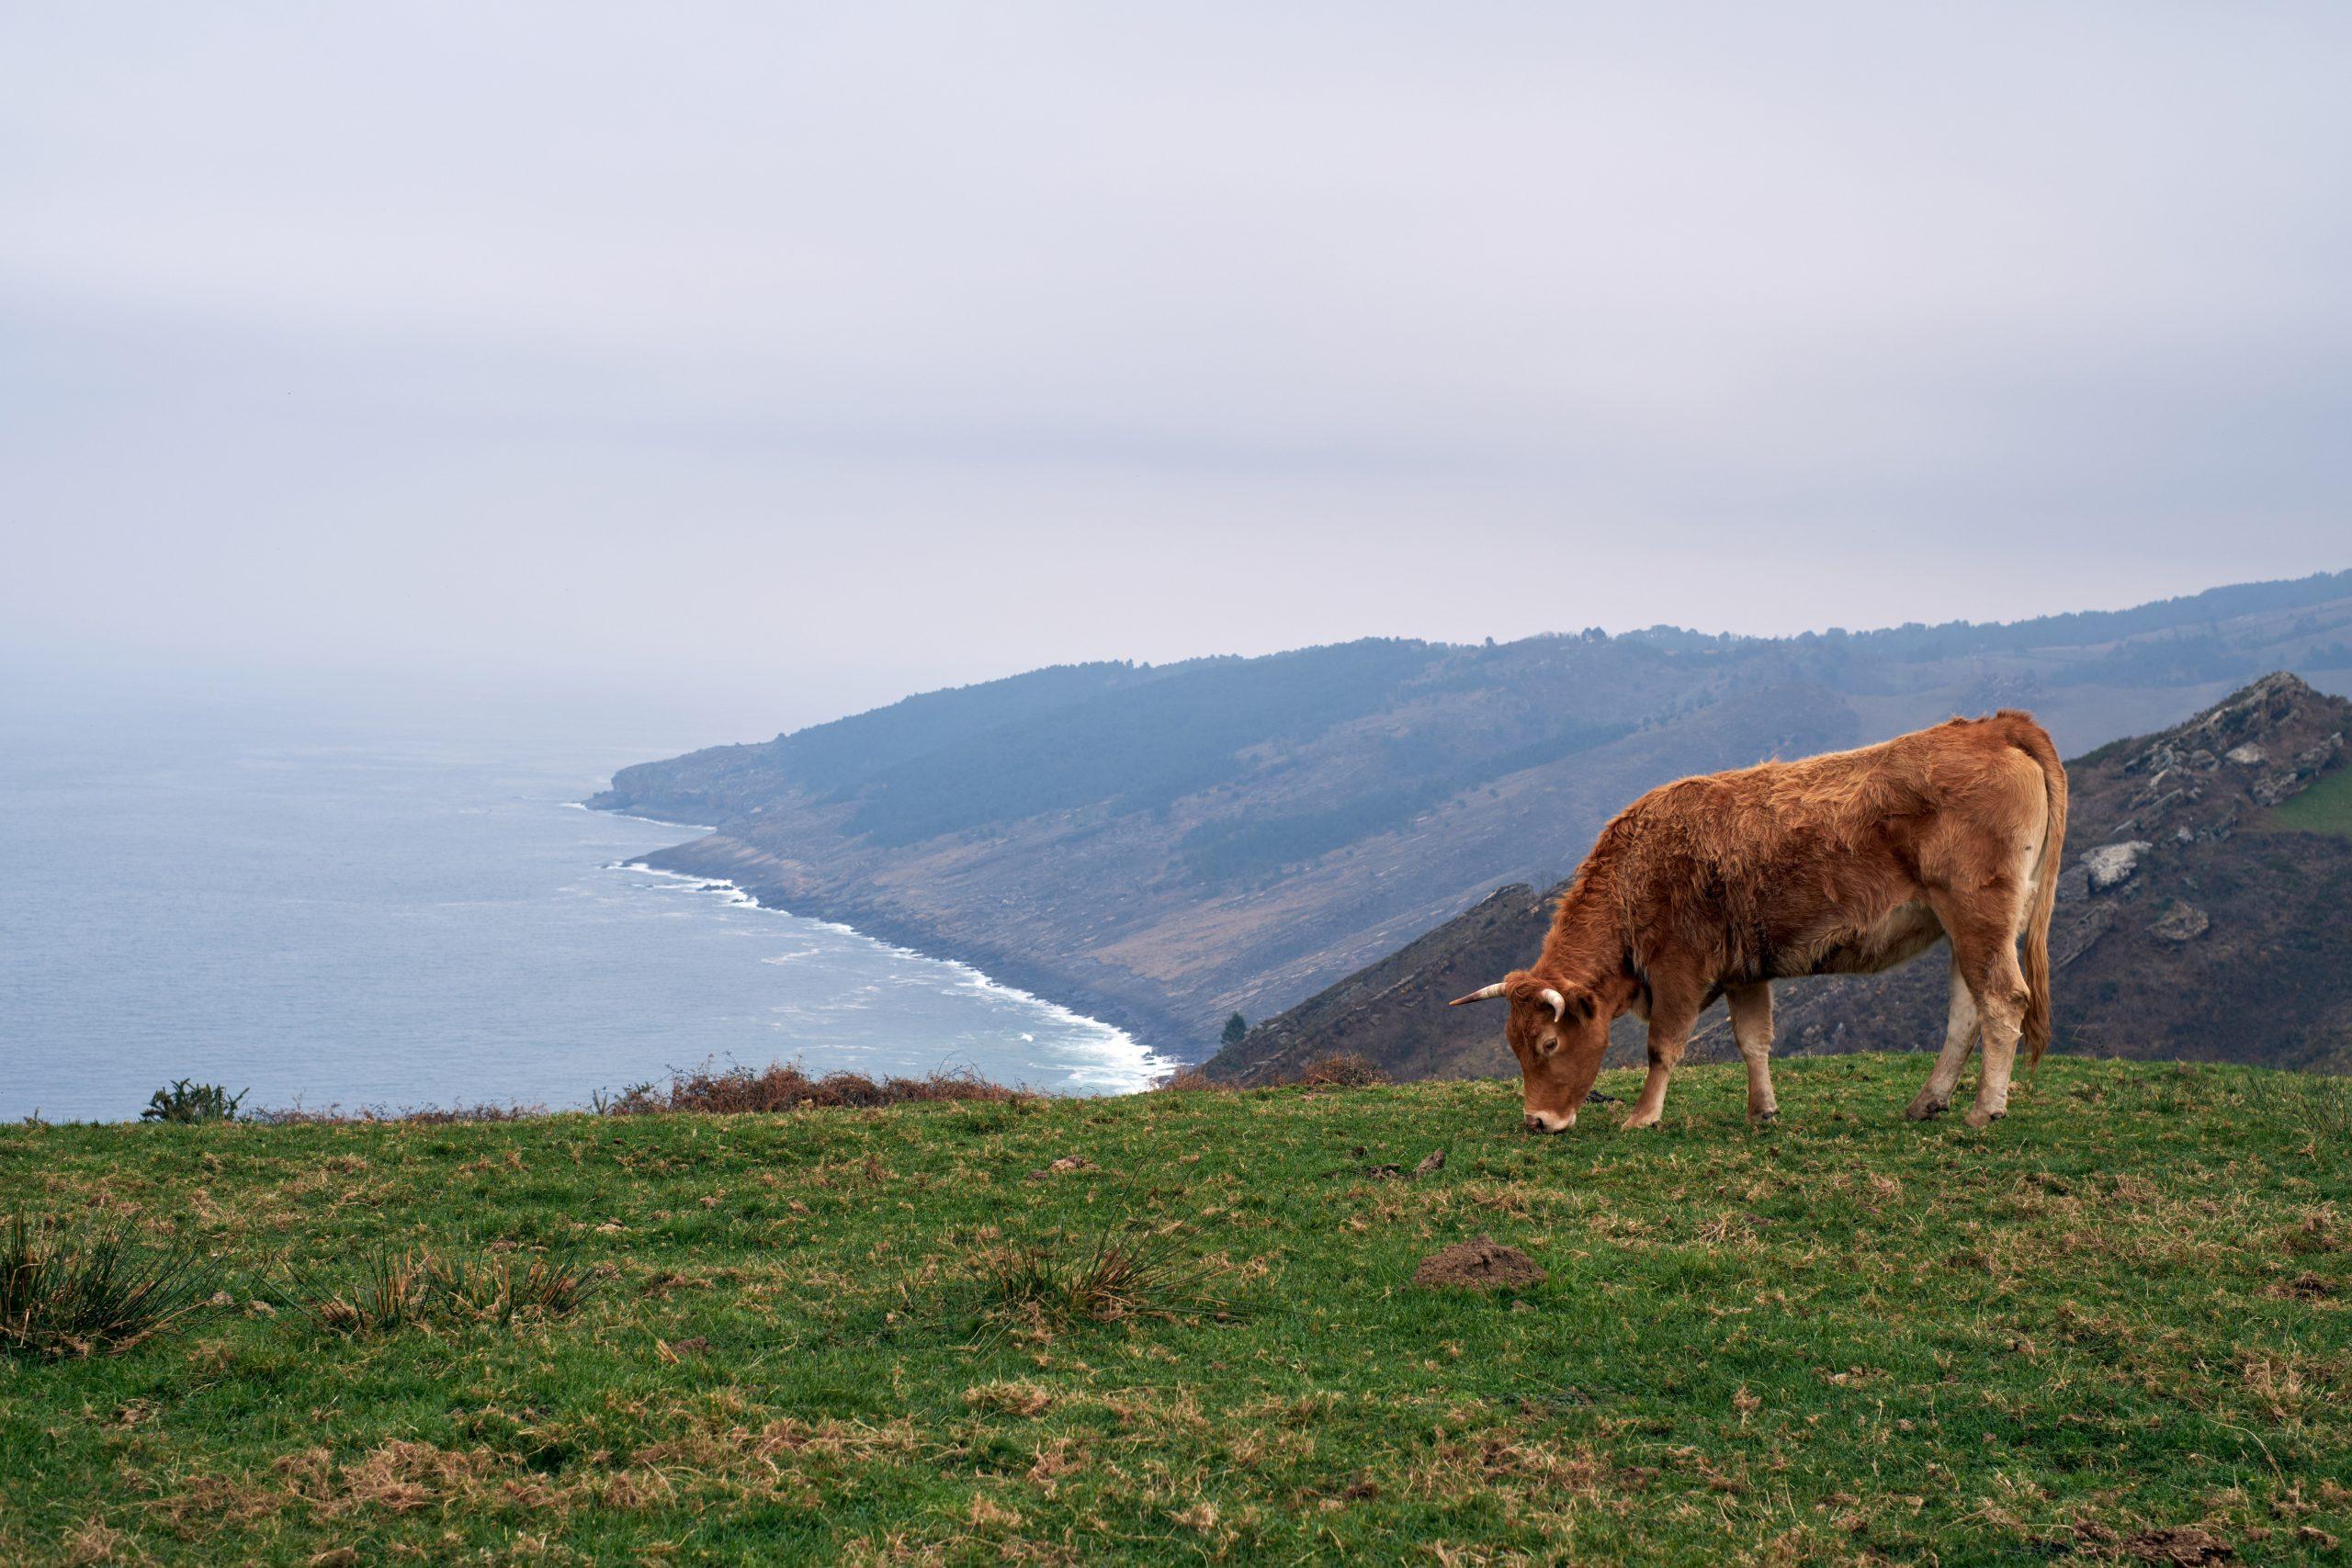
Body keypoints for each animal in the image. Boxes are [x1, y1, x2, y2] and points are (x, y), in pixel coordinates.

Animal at [1451, 711, 2068, 1133]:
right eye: (1514, 1045)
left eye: (1549, 1043)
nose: (1537, 1121)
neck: (1636, 871)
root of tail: (1994, 727)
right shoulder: (1743, 971)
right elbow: (1753, 1041)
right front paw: (1761, 1110)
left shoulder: (1679, 968)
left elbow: (1662, 1046)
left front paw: (1643, 1116)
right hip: (1968, 925)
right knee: (1967, 1010)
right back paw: (1927, 1101)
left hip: (1978, 912)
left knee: (2004, 1000)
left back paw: (1984, 1110)